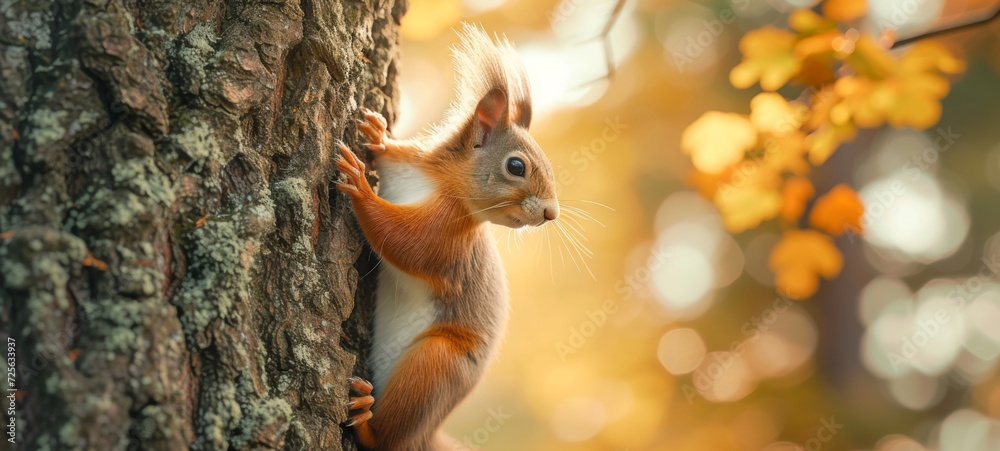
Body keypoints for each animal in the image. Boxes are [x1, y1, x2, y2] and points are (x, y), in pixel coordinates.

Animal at [335, 23, 559, 451]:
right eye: (516, 166)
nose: (551, 214)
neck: (435, 178)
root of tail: (431, 433)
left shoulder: (448, 236)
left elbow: (408, 244)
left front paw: (360, 187)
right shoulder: (408, 162)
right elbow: (392, 153)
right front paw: (378, 133)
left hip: (436, 365)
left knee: (389, 439)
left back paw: (366, 419)